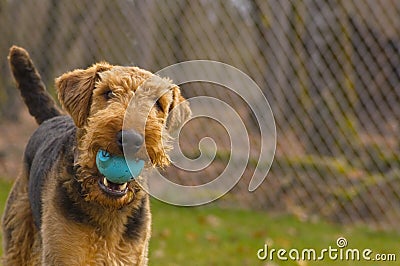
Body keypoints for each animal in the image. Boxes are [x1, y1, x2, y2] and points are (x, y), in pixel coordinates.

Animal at [1, 46, 191, 264]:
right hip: (18, 236)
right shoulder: (62, 257)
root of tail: (55, 118)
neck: (108, 210)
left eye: (158, 104)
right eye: (108, 92)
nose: (130, 138)